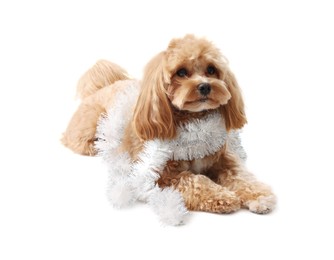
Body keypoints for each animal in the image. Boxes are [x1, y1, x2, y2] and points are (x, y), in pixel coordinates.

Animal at [62, 33, 276, 214]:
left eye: (211, 69)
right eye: (181, 72)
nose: (205, 86)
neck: (194, 123)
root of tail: (104, 86)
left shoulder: (224, 159)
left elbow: (241, 176)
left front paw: (258, 195)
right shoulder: (163, 175)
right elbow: (196, 180)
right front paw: (221, 195)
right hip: (88, 128)